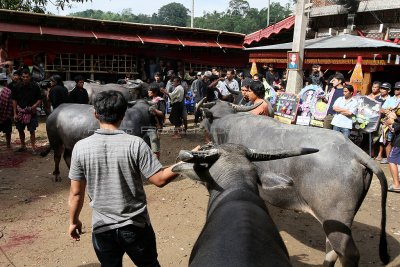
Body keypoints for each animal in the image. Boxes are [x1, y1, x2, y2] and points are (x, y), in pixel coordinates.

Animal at [198, 100, 390, 267]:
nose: (199, 125)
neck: (226, 124)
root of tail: (353, 151)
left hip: (334, 217)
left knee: (347, 253)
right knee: (332, 249)